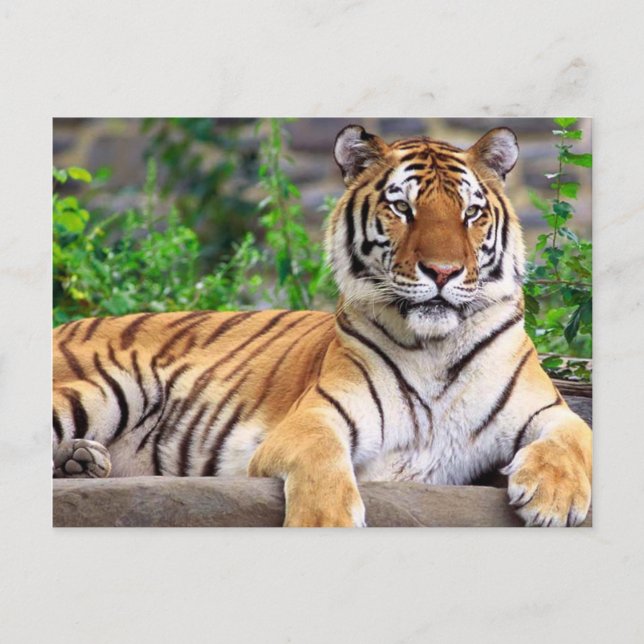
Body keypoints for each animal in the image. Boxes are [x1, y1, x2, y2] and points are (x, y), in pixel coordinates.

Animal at [52, 124, 592, 528]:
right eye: (402, 207)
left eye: (471, 213)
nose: (442, 272)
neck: (435, 347)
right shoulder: (315, 416)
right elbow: (322, 459)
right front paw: (325, 522)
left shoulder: (546, 407)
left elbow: (575, 434)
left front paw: (554, 498)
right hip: (113, 386)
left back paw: (81, 461)